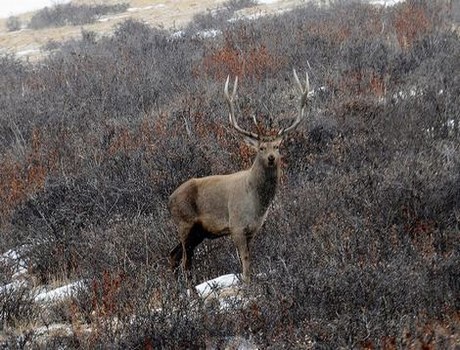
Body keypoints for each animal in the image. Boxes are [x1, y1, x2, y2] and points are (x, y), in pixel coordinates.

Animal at [167, 69, 310, 284]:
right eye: (261, 147)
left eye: (277, 146)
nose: (271, 158)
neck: (256, 203)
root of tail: (169, 200)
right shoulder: (236, 226)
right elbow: (245, 263)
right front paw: (248, 286)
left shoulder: (252, 230)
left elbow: (250, 261)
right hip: (184, 223)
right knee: (185, 263)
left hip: (198, 232)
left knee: (173, 255)